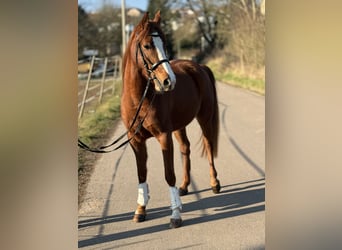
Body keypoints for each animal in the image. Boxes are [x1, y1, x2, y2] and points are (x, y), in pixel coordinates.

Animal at [121, 10, 220, 228]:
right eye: (147, 45)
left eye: (165, 44)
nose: (169, 81)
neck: (140, 99)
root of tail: (199, 66)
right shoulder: (136, 141)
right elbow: (141, 174)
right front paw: (140, 210)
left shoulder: (163, 136)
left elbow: (169, 174)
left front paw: (175, 215)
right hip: (179, 126)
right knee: (185, 148)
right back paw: (184, 186)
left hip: (204, 119)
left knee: (209, 146)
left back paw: (215, 184)